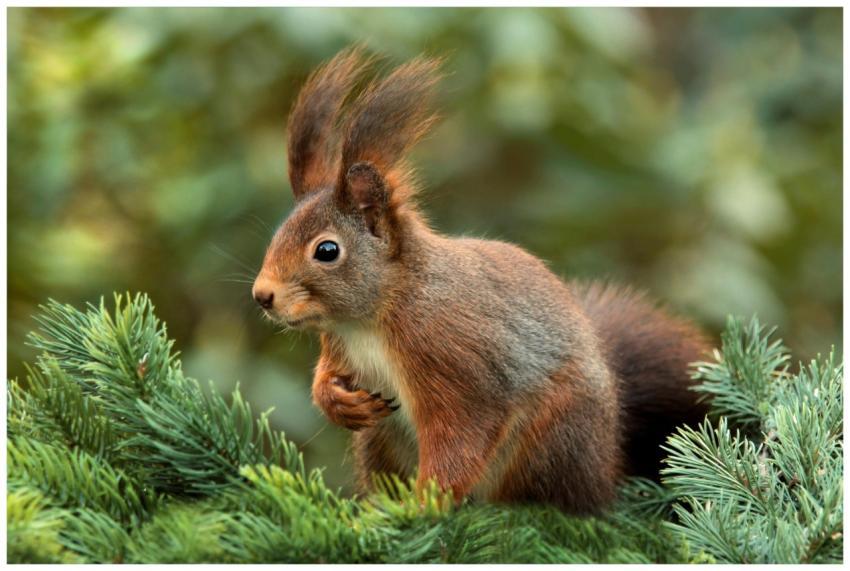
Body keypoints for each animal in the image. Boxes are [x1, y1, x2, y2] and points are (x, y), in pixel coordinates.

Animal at [252, 48, 710, 515]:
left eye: (327, 251)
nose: (262, 295)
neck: (372, 317)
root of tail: (606, 466)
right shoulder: (339, 346)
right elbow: (326, 376)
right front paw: (337, 401)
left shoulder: (453, 359)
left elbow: (461, 435)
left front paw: (424, 506)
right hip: (380, 440)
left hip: (552, 437)